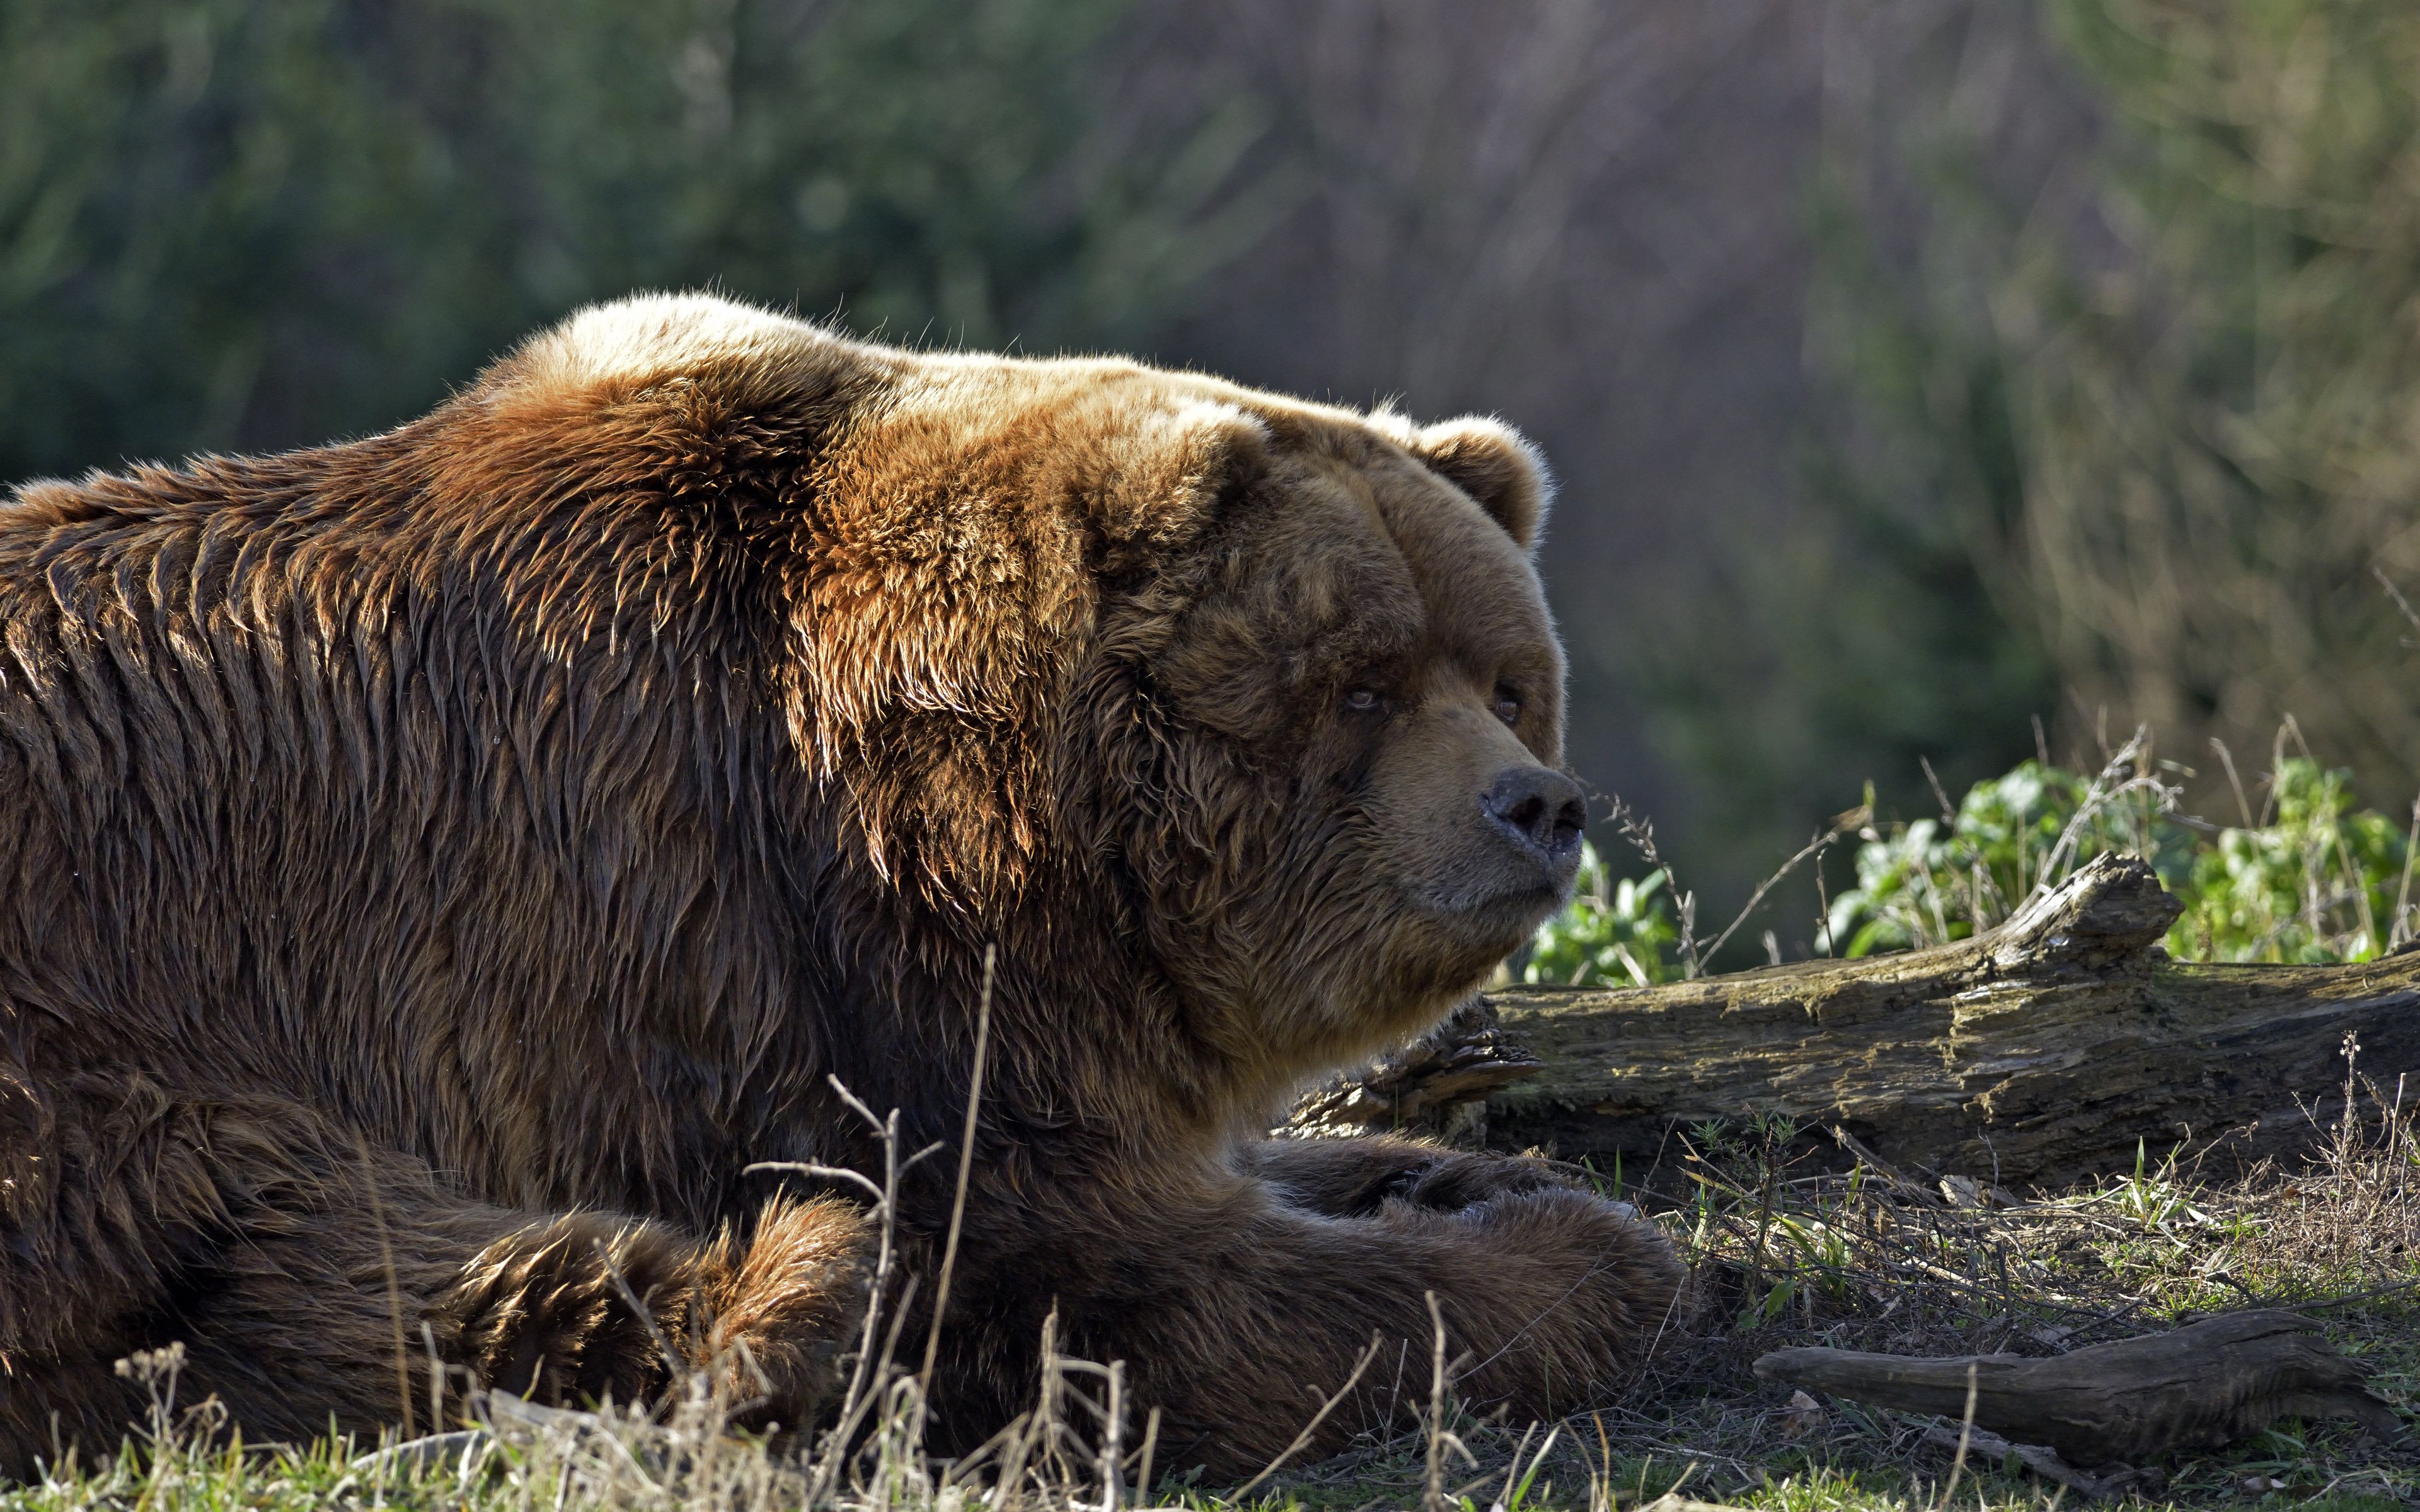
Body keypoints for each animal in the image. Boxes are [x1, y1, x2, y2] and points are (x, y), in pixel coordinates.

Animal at [0, 291, 1684, 1470]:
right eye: (1363, 682)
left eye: (1506, 677)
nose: (1535, 803)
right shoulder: (810, 964)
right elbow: (1110, 1281)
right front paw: (1584, 1259)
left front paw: (1454, 1170)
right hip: (110, 1026)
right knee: (296, 1252)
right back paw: (797, 1291)